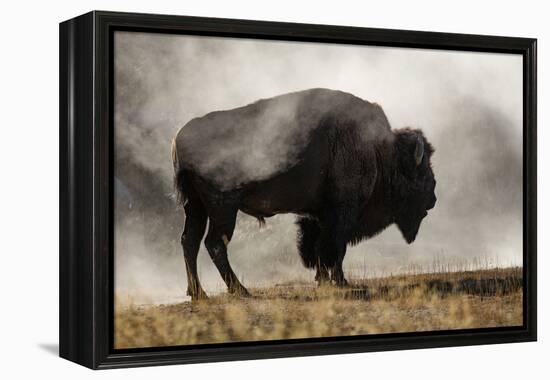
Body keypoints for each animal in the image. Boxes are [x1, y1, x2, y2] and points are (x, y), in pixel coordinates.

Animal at [172, 89, 436, 300]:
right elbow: (335, 247)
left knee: (190, 241)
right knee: (215, 243)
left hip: (196, 206)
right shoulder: (343, 212)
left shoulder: (319, 215)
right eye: (421, 171)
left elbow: (319, 246)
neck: (378, 149)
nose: (433, 198)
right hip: (223, 207)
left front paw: (323, 279)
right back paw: (240, 290)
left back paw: (198, 293)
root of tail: (179, 137)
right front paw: (340, 281)